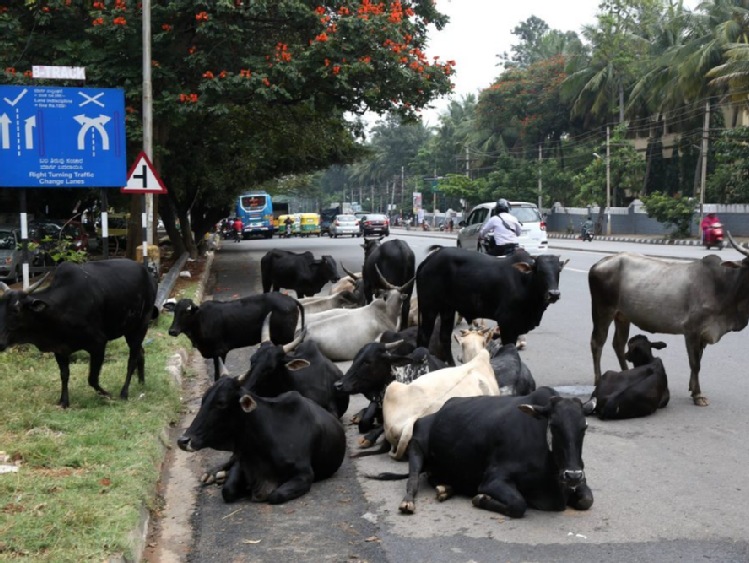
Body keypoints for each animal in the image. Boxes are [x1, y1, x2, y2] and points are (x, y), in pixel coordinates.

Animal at [0, 258, 156, 408]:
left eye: (16, 309)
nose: (1, 342)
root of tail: (147, 273)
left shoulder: (98, 343)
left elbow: (92, 379)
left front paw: (107, 394)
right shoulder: (60, 349)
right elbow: (64, 374)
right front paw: (64, 401)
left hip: (141, 326)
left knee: (132, 359)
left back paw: (124, 392)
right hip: (131, 331)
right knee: (140, 352)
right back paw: (141, 383)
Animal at [165, 294, 302, 382]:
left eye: (187, 312)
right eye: (175, 311)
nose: (172, 331)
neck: (201, 320)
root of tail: (291, 299)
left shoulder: (220, 351)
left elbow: (218, 375)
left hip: (286, 337)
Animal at [177, 376, 346, 504]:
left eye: (221, 403)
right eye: (203, 399)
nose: (183, 440)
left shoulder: (304, 474)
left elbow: (275, 495)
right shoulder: (242, 462)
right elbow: (228, 491)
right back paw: (213, 473)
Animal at [394, 390, 592, 516]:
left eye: (584, 427)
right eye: (554, 425)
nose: (572, 475)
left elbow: (587, 500)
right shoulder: (493, 479)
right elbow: (518, 504)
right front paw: (480, 498)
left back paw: (445, 489)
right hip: (416, 446)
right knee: (413, 479)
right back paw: (408, 502)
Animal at [414, 248, 568, 366]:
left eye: (558, 271)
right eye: (539, 270)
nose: (554, 294)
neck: (524, 282)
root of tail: (429, 259)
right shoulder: (507, 323)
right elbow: (509, 348)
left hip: (447, 309)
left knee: (445, 337)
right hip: (429, 307)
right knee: (424, 336)